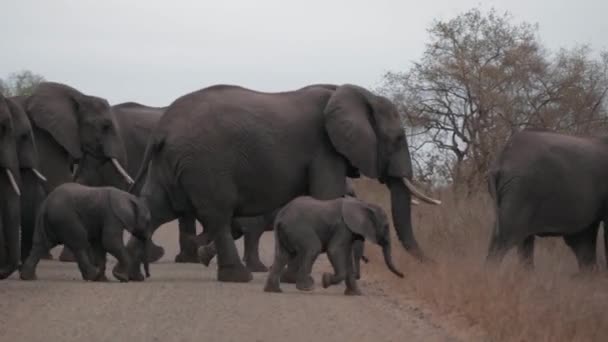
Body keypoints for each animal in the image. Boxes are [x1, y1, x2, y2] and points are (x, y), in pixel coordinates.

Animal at [19, 183, 152, 282]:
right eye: (148, 221)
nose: (144, 277)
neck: (127, 197)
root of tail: (46, 204)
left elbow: (99, 245)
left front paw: (103, 280)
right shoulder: (112, 216)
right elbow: (110, 243)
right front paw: (121, 277)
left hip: (49, 220)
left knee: (41, 244)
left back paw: (28, 277)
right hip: (66, 217)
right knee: (79, 243)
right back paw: (93, 275)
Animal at [126, 83, 442, 284]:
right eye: (398, 139)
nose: (429, 267)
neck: (358, 94)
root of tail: (162, 129)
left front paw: (291, 278)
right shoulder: (323, 149)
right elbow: (325, 195)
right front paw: (299, 278)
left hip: (171, 162)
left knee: (157, 208)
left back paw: (126, 275)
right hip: (205, 165)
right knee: (218, 216)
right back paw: (239, 277)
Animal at [264, 196, 404, 296]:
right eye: (386, 226)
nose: (403, 275)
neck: (364, 204)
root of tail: (281, 217)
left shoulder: (349, 231)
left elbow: (348, 259)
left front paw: (356, 294)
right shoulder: (343, 227)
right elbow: (334, 250)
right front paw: (325, 281)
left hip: (283, 233)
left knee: (282, 255)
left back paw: (273, 290)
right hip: (298, 228)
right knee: (312, 248)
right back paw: (307, 287)